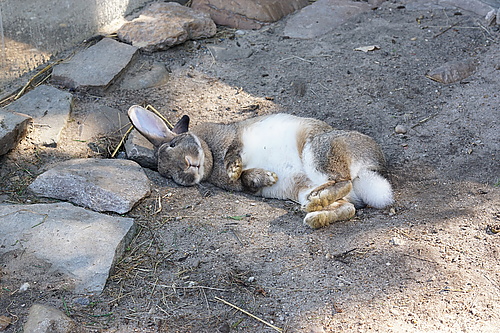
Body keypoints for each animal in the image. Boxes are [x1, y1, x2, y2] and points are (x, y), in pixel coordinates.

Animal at [127, 105, 392, 227]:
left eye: (173, 144)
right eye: (169, 176)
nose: (187, 169)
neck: (211, 157)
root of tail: (370, 175)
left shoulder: (232, 139)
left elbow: (233, 153)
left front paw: (233, 168)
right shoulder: (245, 185)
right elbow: (248, 179)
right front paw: (265, 177)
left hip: (317, 151)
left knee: (343, 181)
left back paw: (316, 203)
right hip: (305, 186)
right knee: (348, 207)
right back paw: (315, 214)